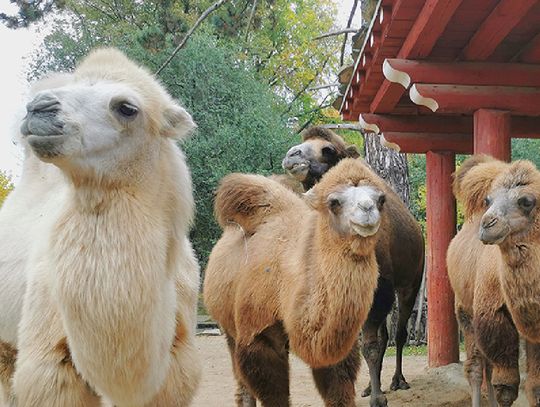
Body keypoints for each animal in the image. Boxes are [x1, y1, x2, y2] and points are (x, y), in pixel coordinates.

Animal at [205, 159, 394, 407]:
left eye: (380, 199)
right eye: (334, 202)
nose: (367, 209)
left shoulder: (338, 346)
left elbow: (339, 389)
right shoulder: (257, 336)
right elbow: (274, 395)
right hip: (228, 327)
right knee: (243, 385)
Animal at [450, 155, 540, 407]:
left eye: (526, 201)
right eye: (488, 199)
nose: (488, 223)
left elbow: (536, 387)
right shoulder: (493, 314)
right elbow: (506, 388)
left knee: (488, 367)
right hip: (465, 309)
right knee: (477, 367)